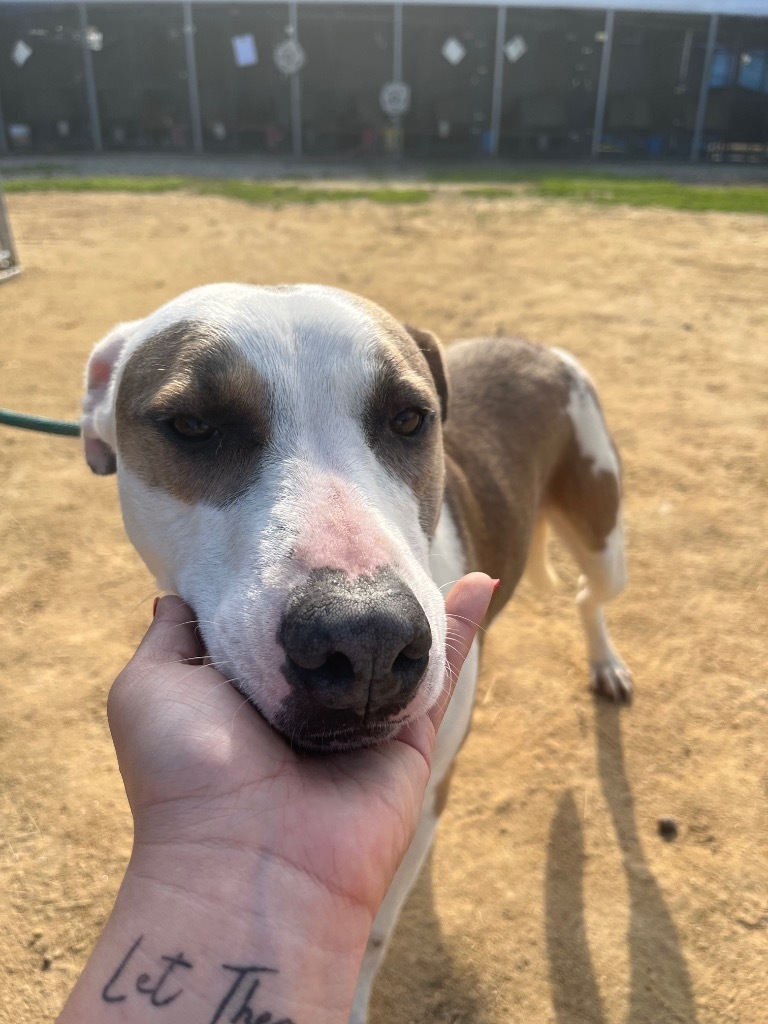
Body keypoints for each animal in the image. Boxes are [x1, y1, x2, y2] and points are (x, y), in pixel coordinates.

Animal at [81, 284, 630, 1019]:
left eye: (409, 418)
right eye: (192, 424)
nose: (366, 639)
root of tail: (532, 346)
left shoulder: (428, 798)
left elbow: (372, 932)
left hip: (605, 541)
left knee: (588, 596)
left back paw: (605, 663)